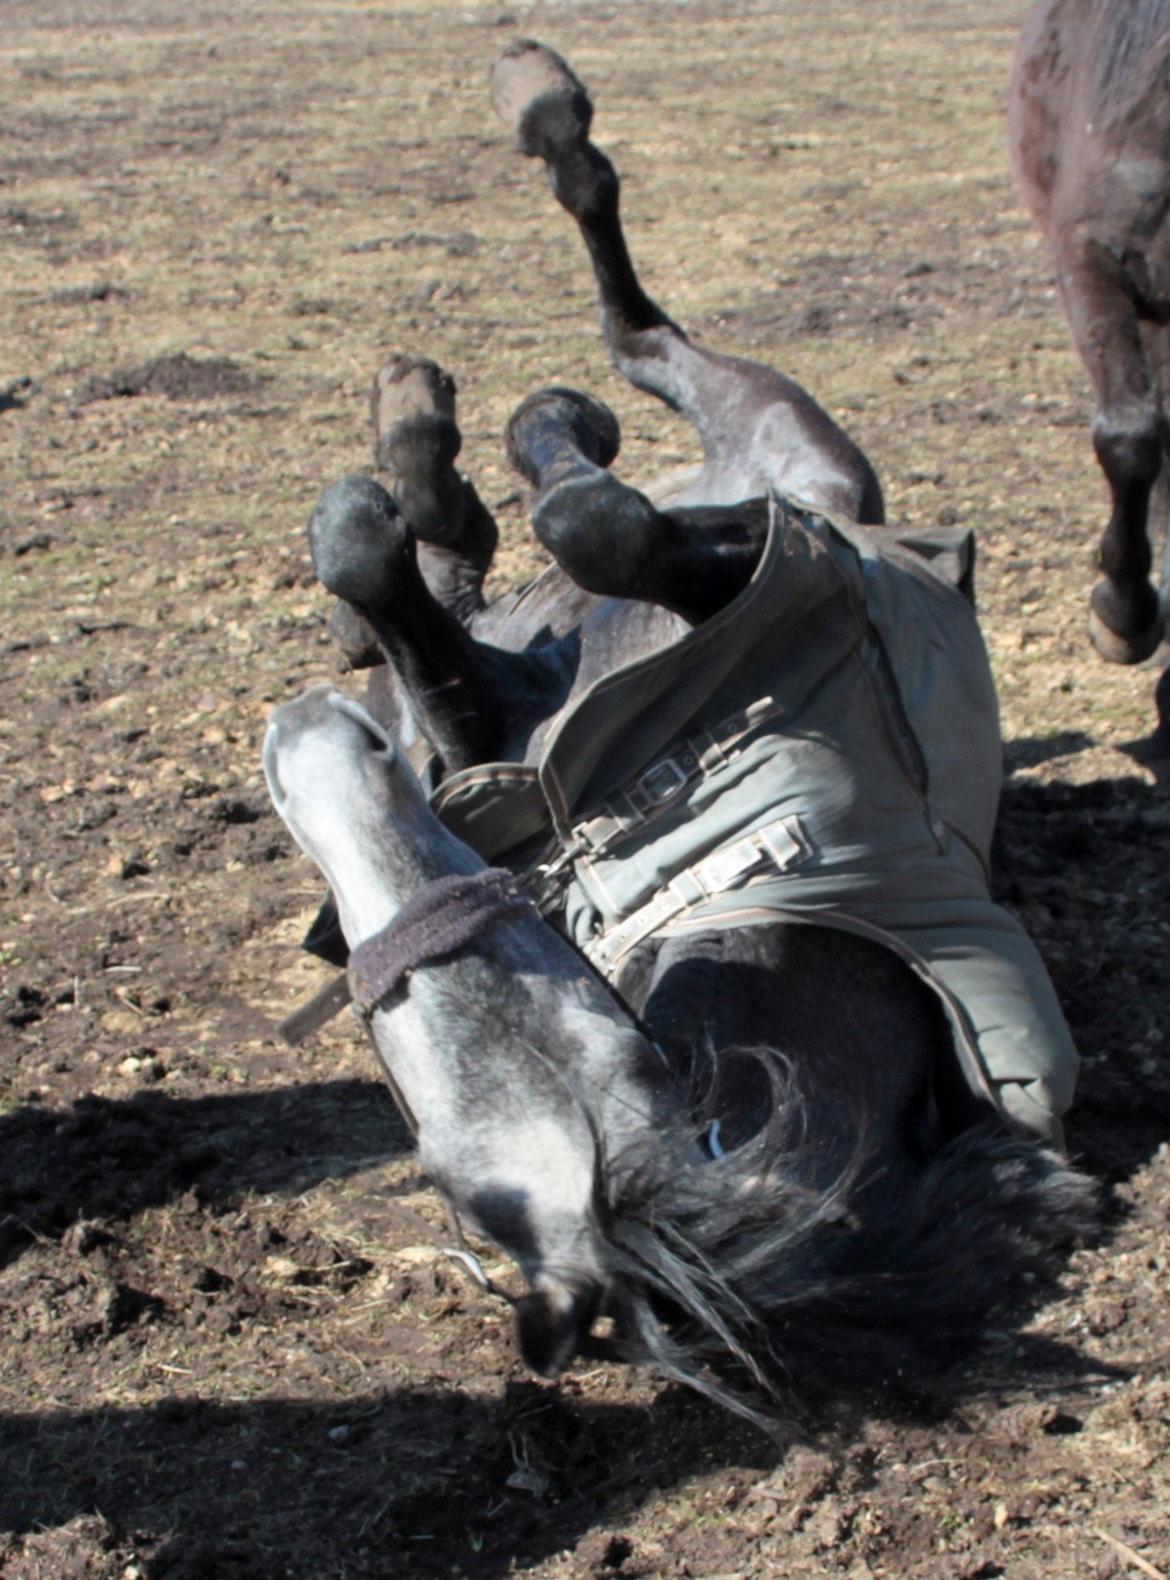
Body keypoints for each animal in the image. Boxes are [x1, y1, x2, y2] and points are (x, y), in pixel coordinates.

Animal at [260, 43, 1092, 1428]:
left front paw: (461, 463)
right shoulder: (507, 706)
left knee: (614, 348)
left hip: (772, 434)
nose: (312, 745)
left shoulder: (735, 580)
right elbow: (455, 588)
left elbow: (579, 527)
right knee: (514, 501)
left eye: (526, 961)